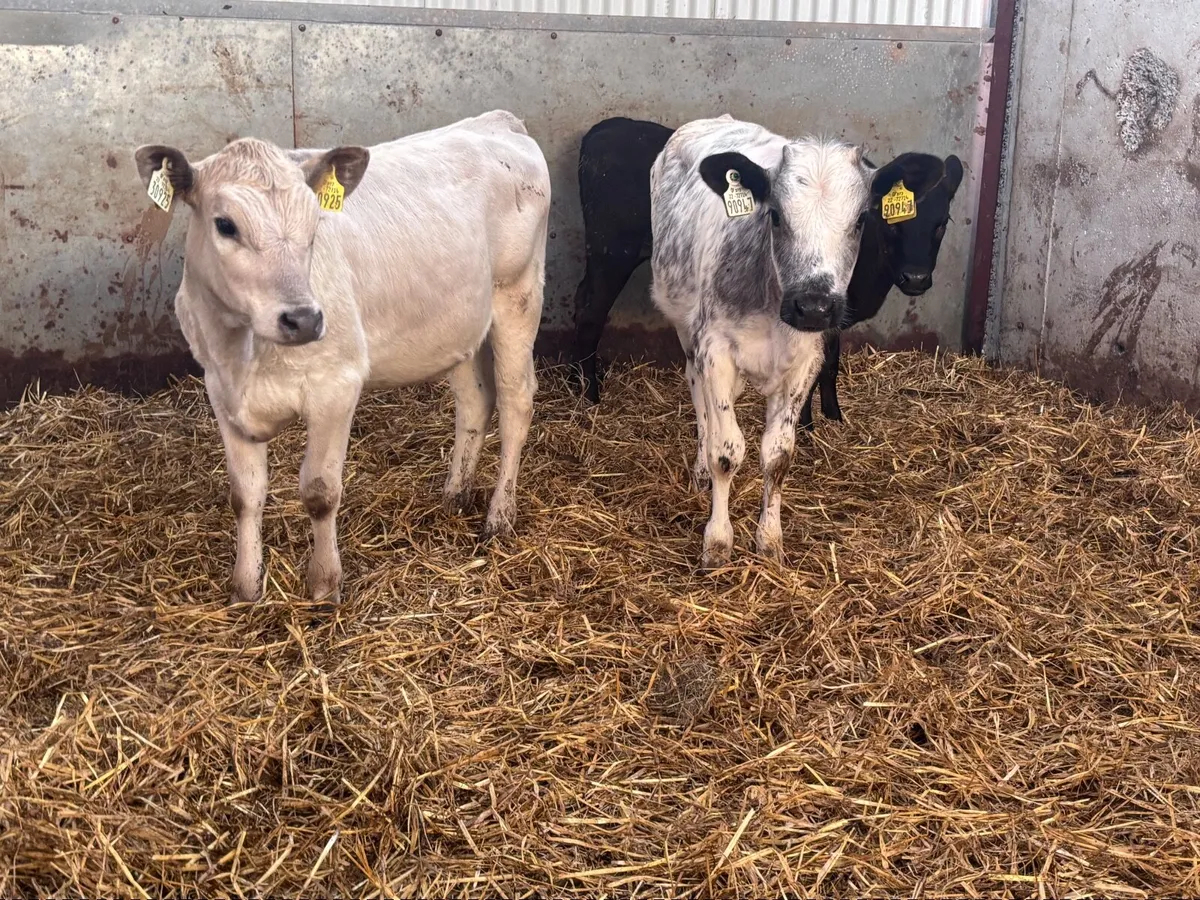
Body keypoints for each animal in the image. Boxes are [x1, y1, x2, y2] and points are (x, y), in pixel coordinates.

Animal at [134, 110, 550, 609]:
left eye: (315, 223)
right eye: (225, 225)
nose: (305, 319)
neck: (245, 351)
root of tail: (499, 121)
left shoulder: (336, 386)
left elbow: (320, 491)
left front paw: (324, 586)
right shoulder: (221, 390)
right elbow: (245, 495)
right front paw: (245, 588)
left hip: (518, 294)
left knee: (515, 401)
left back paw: (499, 516)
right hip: (463, 324)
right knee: (475, 402)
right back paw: (455, 494)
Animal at [568, 117, 964, 426]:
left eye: (942, 223)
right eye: (890, 225)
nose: (916, 278)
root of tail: (605, 127)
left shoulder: (831, 310)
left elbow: (830, 362)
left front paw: (833, 416)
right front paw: (808, 424)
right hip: (611, 252)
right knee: (590, 310)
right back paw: (590, 394)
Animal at [649, 115, 872, 569]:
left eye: (861, 219)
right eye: (776, 215)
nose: (814, 306)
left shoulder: (806, 360)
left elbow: (778, 455)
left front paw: (769, 539)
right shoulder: (714, 349)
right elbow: (726, 451)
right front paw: (717, 541)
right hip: (686, 327)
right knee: (698, 396)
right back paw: (700, 469)